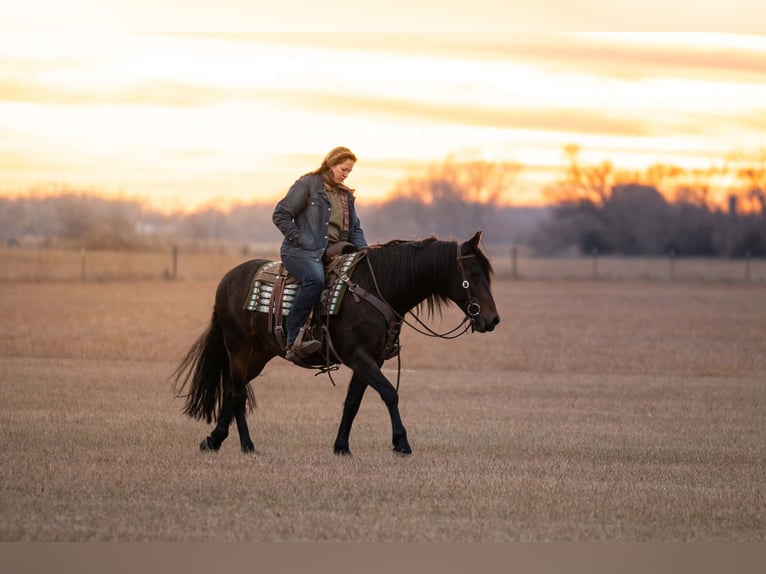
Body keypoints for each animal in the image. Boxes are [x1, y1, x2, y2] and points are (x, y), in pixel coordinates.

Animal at [173, 230, 500, 456]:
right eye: (473, 274)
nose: (492, 319)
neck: (376, 289)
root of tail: (228, 279)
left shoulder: (371, 359)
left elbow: (353, 402)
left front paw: (342, 446)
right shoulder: (358, 355)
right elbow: (389, 393)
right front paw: (401, 443)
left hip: (258, 354)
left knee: (231, 390)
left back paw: (219, 441)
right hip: (238, 347)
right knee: (237, 392)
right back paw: (242, 444)